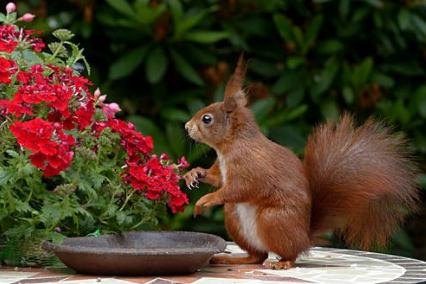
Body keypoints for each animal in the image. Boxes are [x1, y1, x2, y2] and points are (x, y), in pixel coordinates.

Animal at [183, 56, 420, 270]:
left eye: (207, 119)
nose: (186, 126)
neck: (230, 146)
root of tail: (305, 237)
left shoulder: (251, 166)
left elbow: (240, 188)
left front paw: (206, 199)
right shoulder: (223, 169)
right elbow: (218, 178)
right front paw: (194, 174)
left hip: (273, 220)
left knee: (289, 253)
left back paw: (283, 262)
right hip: (234, 218)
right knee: (257, 256)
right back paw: (232, 259)